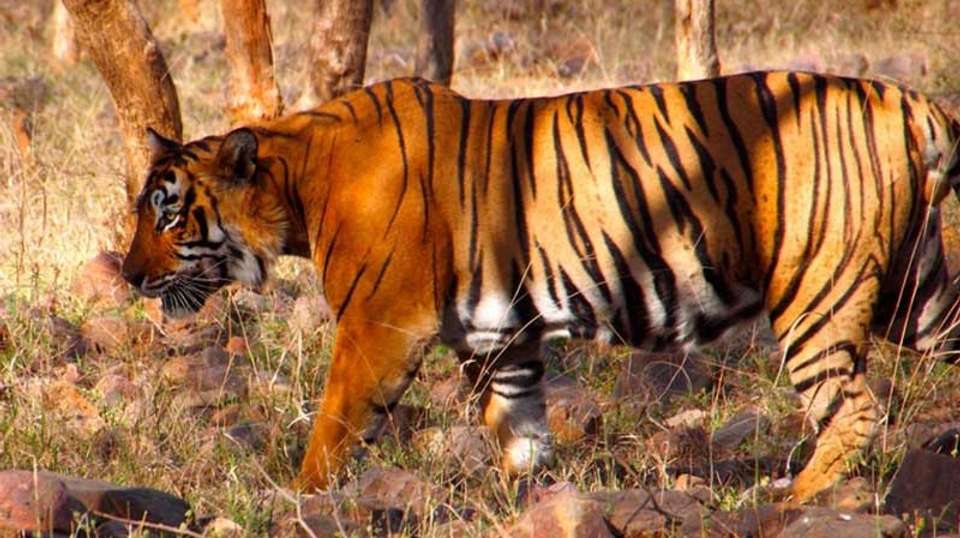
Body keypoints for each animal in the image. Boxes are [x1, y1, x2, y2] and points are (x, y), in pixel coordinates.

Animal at [121, 71, 960, 502]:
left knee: (853, 413)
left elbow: (334, 423)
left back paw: (793, 499)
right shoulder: (499, 338)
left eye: (166, 215)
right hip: (915, 293)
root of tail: (910, 100)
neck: (297, 184)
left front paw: (301, 495)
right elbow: (519, 430)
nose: (128, 276)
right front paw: (523, 500)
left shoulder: (379, 325)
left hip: (817, 292)